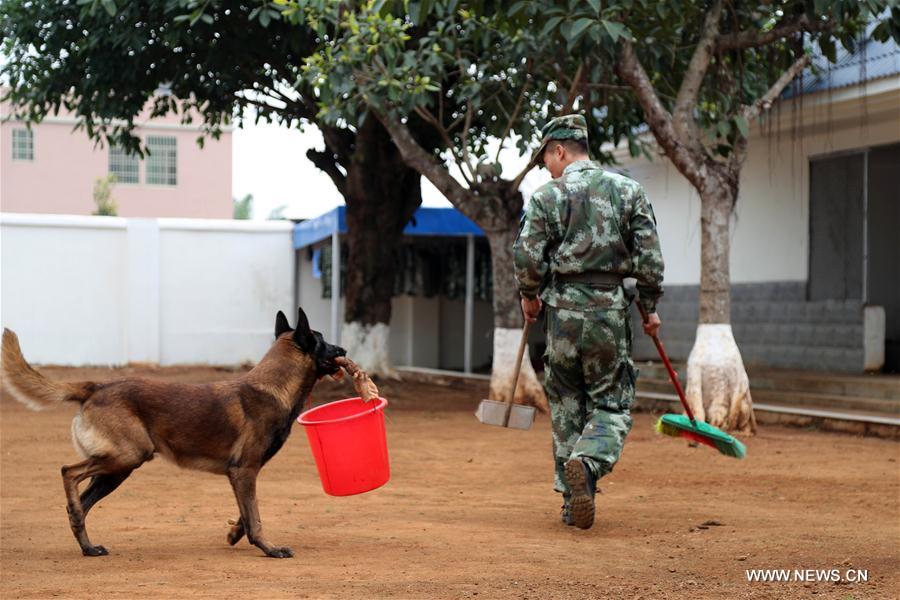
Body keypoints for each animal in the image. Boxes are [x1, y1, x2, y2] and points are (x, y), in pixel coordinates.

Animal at [0, 308, 346, 560]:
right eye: (323, 341)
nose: (343, 349)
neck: (273, 386)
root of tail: (97, 386)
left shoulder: (240, 474)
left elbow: (246, 511)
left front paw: (236, 533)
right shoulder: (245, 470)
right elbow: (255, 515)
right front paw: (269, 548)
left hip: (117, 470)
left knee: (81, 506)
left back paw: (87, 545)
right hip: (127, 457)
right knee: (68, 472)